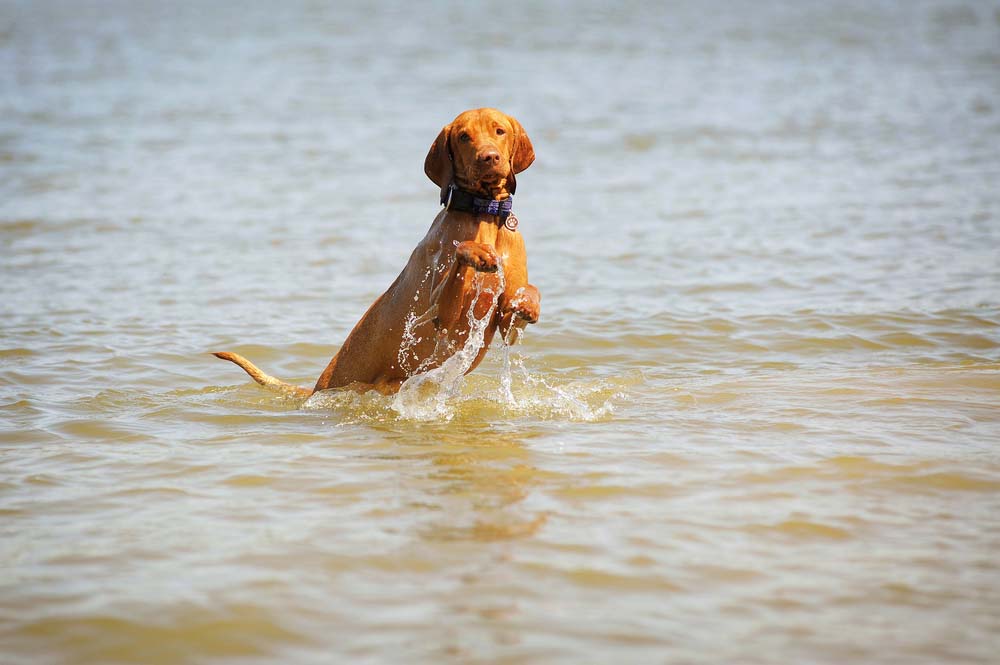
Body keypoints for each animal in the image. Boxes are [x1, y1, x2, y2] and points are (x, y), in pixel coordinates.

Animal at [212, 107, 540, 396]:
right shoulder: (441, 317)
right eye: (463, 137)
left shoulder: (507, 326)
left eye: (499, 131)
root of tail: (316, 387)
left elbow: (525, 297)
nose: (489, 157)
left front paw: (530, 303)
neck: (485, 213)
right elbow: (462, 253)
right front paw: (478, 253)